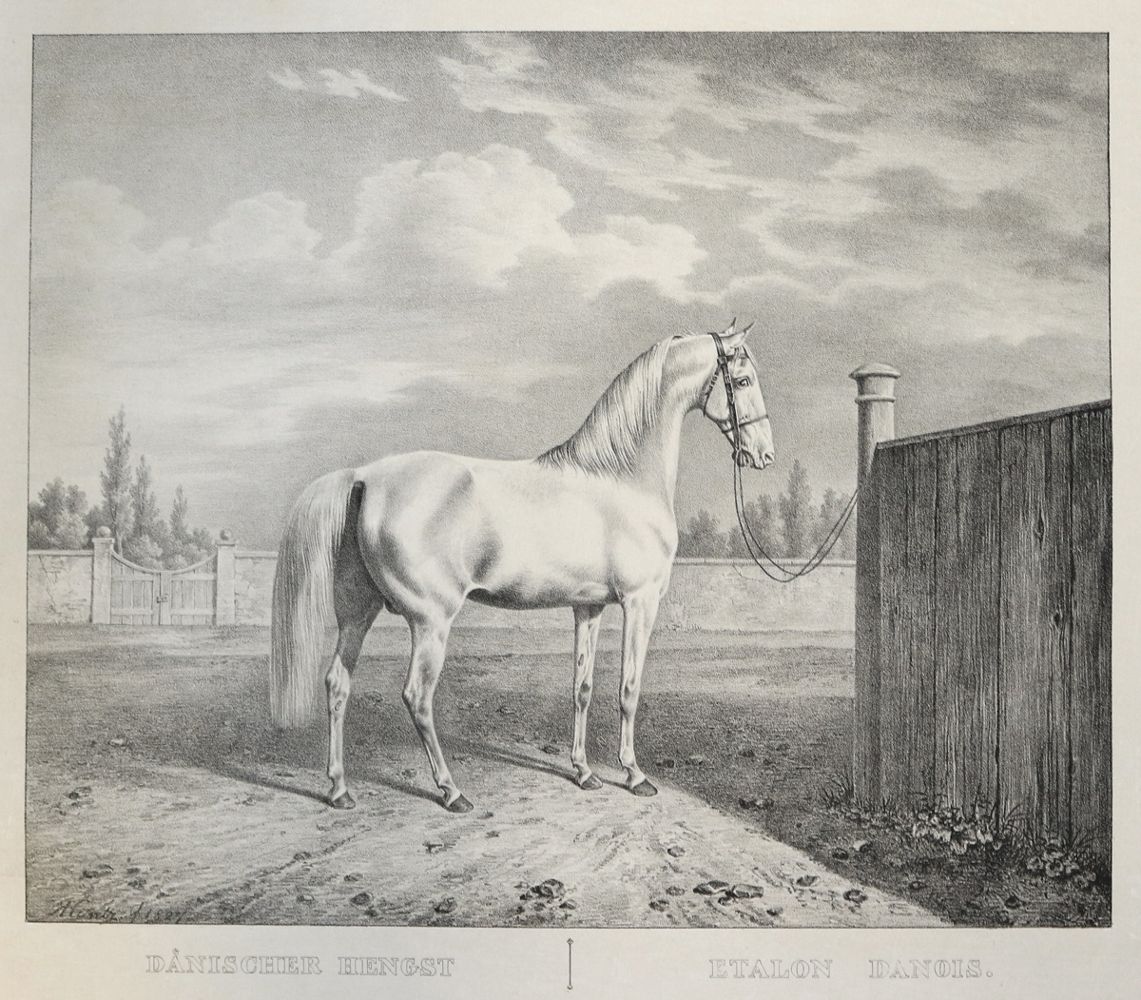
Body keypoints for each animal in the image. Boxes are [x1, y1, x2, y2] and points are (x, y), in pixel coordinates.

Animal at [269, 321, 775, 813]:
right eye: (743, 380)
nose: (764, 454)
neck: (621, 477)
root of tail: (364, 477)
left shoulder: (588, 608)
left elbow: (582, 687)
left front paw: (584, 773)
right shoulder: (640, 602)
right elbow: (628, 690)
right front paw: (634, 776)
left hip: (358, 612)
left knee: (337, 684)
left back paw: (339, 789)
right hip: (431, 621)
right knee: (417, 697)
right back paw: (451, 792)